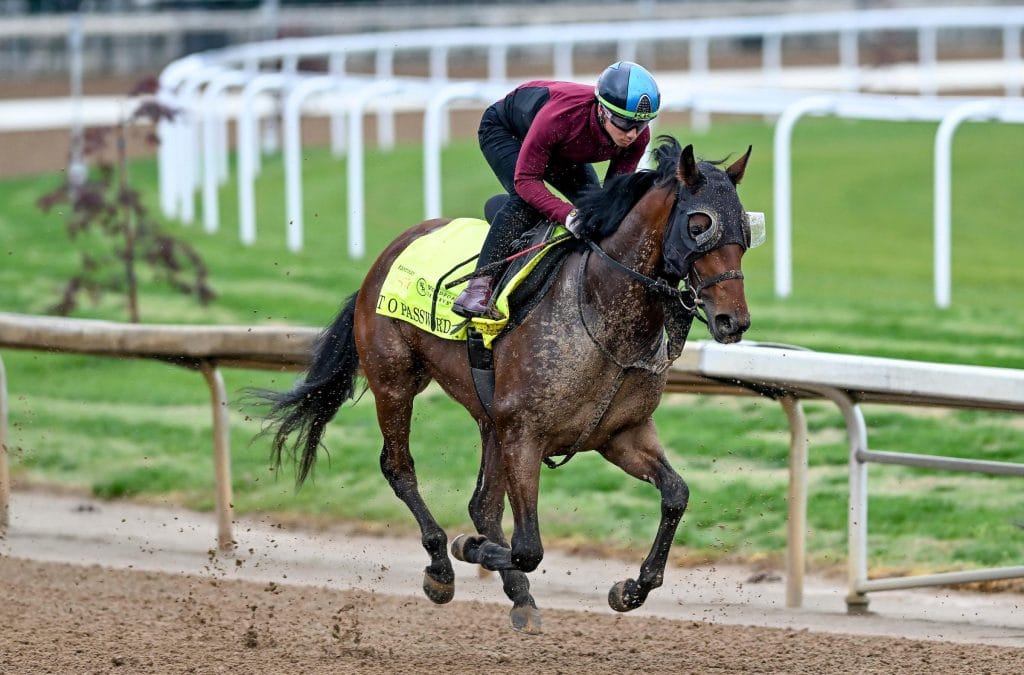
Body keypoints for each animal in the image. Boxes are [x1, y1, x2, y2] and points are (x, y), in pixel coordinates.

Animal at [256, 136, 756, 634]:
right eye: (699, 224)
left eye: (747, 233)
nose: (733, 321)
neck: (599, 311)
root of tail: (388, 253)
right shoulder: (524, 434)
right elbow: (528, 546)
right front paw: (467, 548)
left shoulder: (620, 434)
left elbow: (676, 494)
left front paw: (631, 588)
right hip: (394, 382)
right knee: (399, 468)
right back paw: (442, 567)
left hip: (488, 417)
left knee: (482, 503)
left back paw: (519, 597)